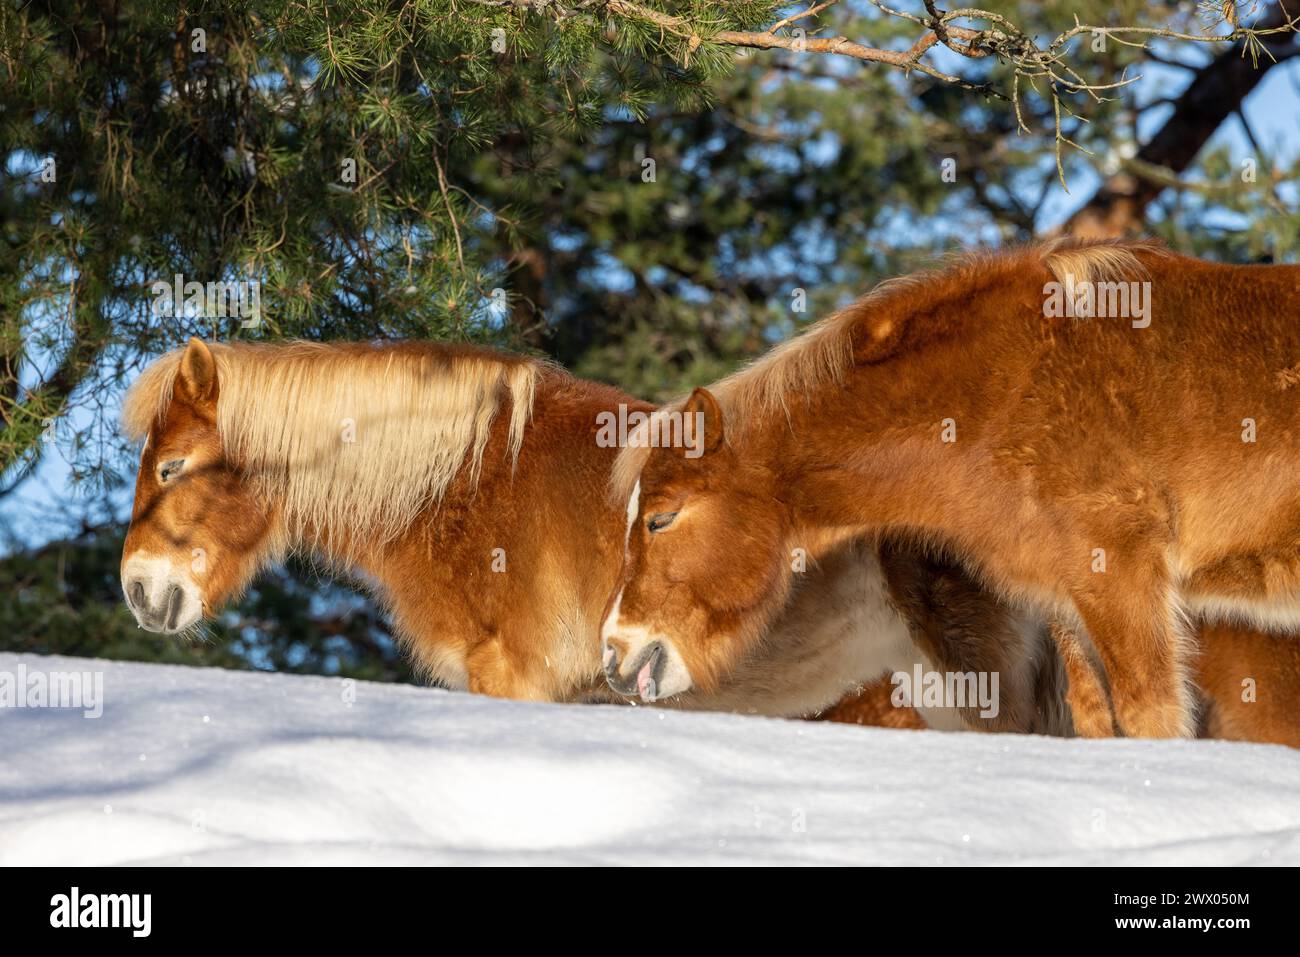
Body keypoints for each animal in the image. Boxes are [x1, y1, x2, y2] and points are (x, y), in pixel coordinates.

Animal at [603, 239, 1300, 738]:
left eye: (661, 518)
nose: (617, 655)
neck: (1008, 387)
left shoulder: (1124, 583)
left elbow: (1152, 719)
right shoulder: (1072, 603)